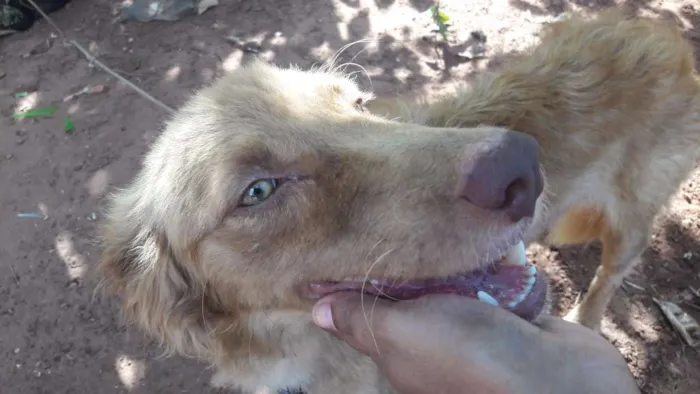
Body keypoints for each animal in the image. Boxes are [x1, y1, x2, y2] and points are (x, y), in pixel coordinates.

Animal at [98, 8, 700, 394]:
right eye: (258, 190)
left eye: (358, 104)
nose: (521, 166)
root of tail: (658, 30)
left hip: (632, 219)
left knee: (612, 273)